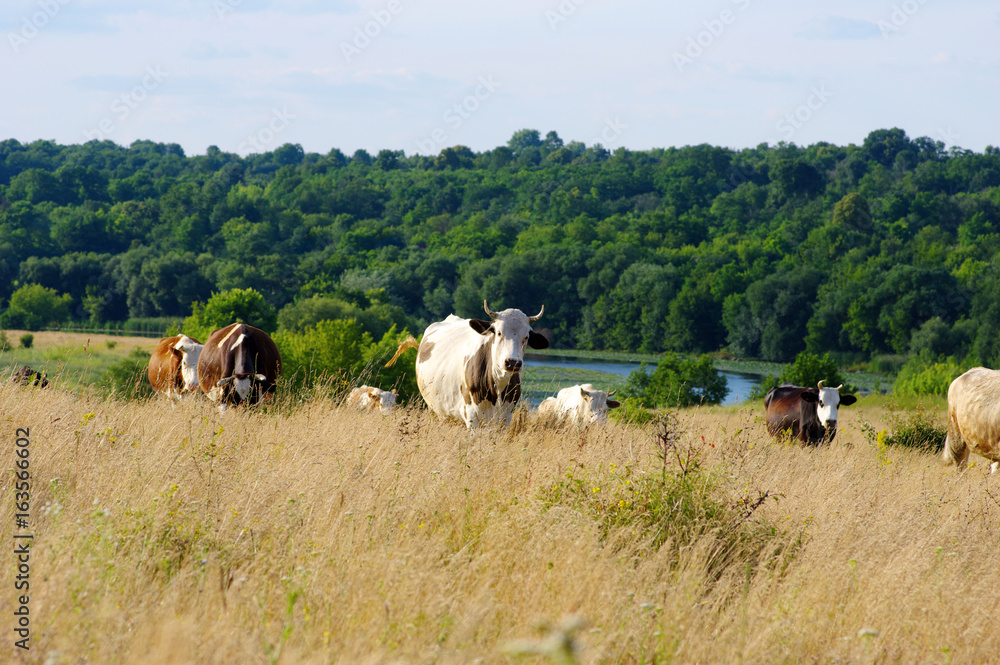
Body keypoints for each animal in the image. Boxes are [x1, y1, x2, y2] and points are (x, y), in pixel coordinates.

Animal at [387, 300, 548, 429]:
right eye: (498, 332)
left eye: (526, 337)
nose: (512, 362)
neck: (497, 384)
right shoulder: (472, 416)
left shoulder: (505, 417)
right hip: (435, 409)